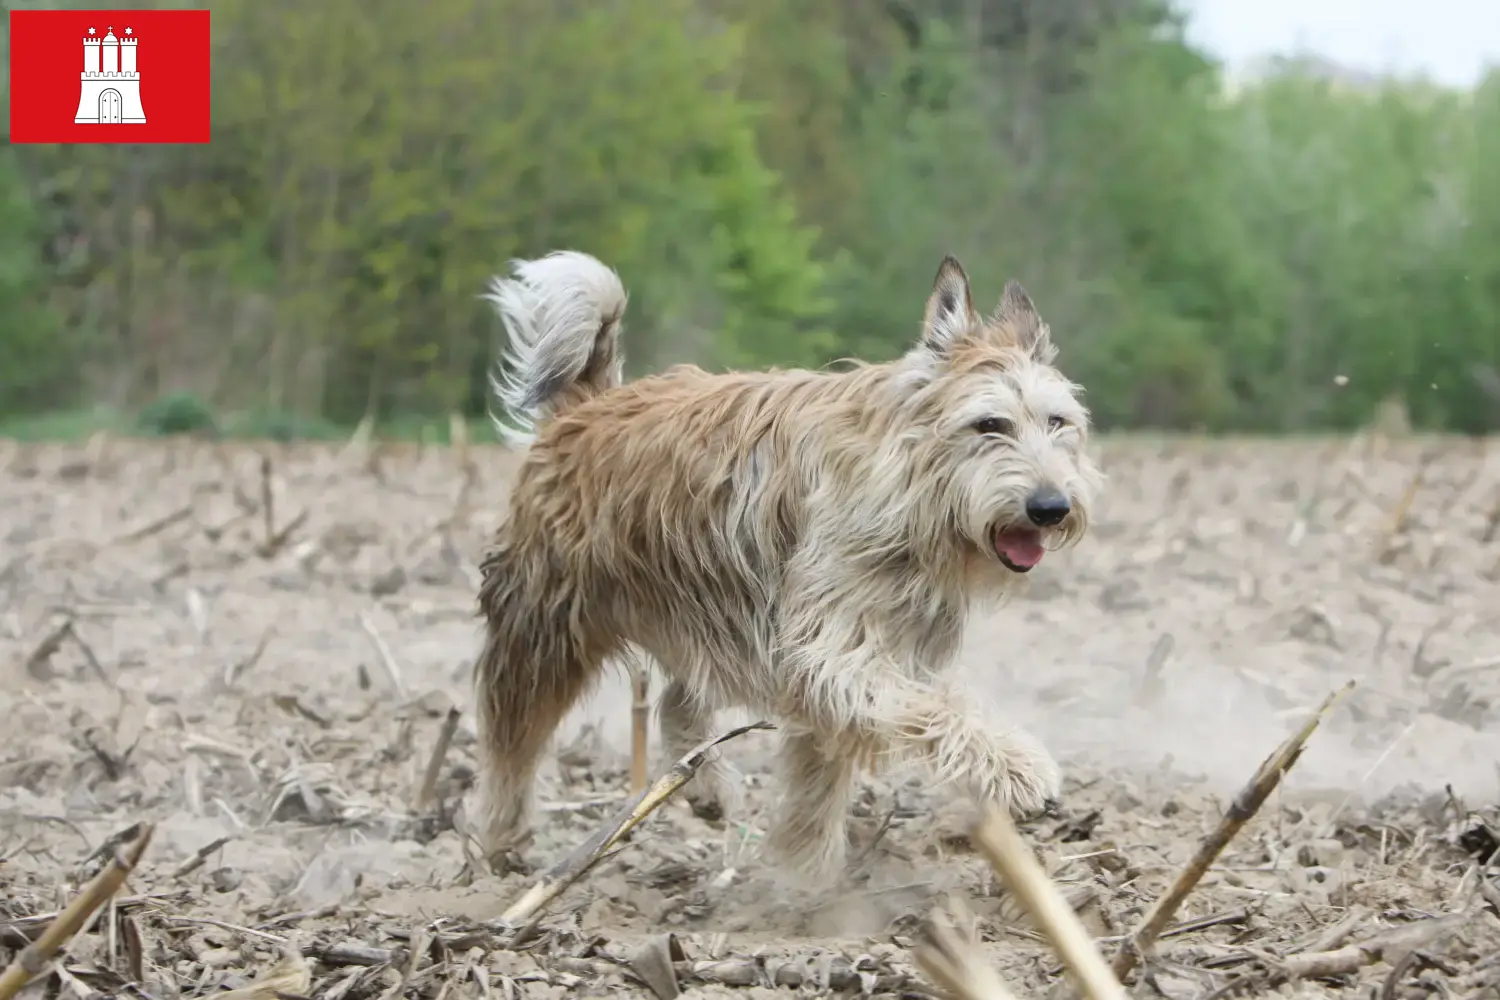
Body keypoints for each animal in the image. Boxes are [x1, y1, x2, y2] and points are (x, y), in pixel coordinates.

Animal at [474, 250, 1110, 881]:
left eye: (1057, 422)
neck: (907, 490)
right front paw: (1018, 766)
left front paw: (804, 876)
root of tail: (588, 404)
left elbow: (820, 775)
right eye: (990, 424)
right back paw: (504, 839)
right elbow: (934, 710)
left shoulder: (851, 654)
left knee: (676, 700)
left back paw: (703, 787)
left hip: (708, 614)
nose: (1051, 507)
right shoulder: (831, 650)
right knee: (512, 740)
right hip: (545, 626)